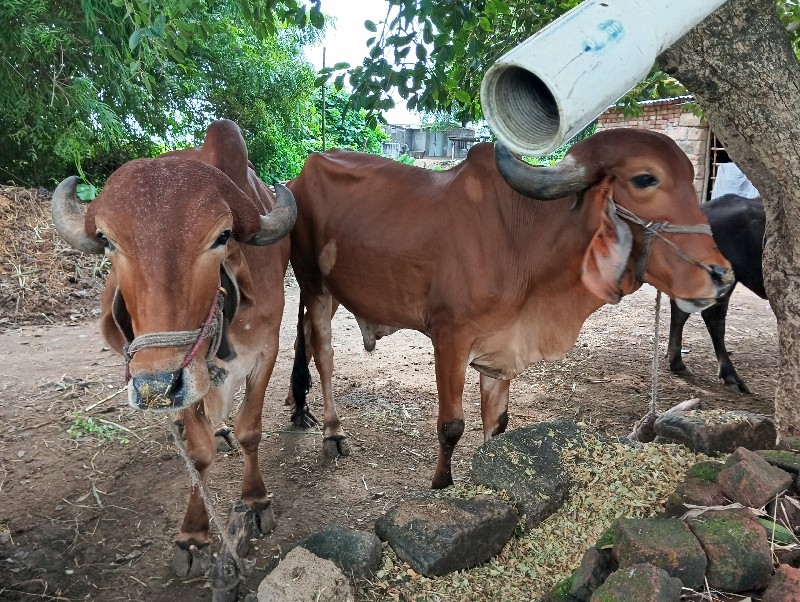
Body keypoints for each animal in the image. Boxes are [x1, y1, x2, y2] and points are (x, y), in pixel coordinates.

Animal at [50, 118, 294, 572]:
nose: (154, 387)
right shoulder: (183, 380)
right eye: (107, 240)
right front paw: (194, 533)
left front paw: (255, 501)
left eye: (223, 236)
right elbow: (198, 454)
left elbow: (251, 431)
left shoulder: (266, 350)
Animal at [290, 127, 736, 488]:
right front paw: (441, 486)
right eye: (645, 179)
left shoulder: (500, 348)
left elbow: (498, 424)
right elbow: (451, 427)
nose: (721, 275)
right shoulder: (449, 339)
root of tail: (302, 173)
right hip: (314, 285)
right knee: (324, 353)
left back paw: (299, 408)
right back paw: (332, 433)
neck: (523, 240)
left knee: (306, 340)